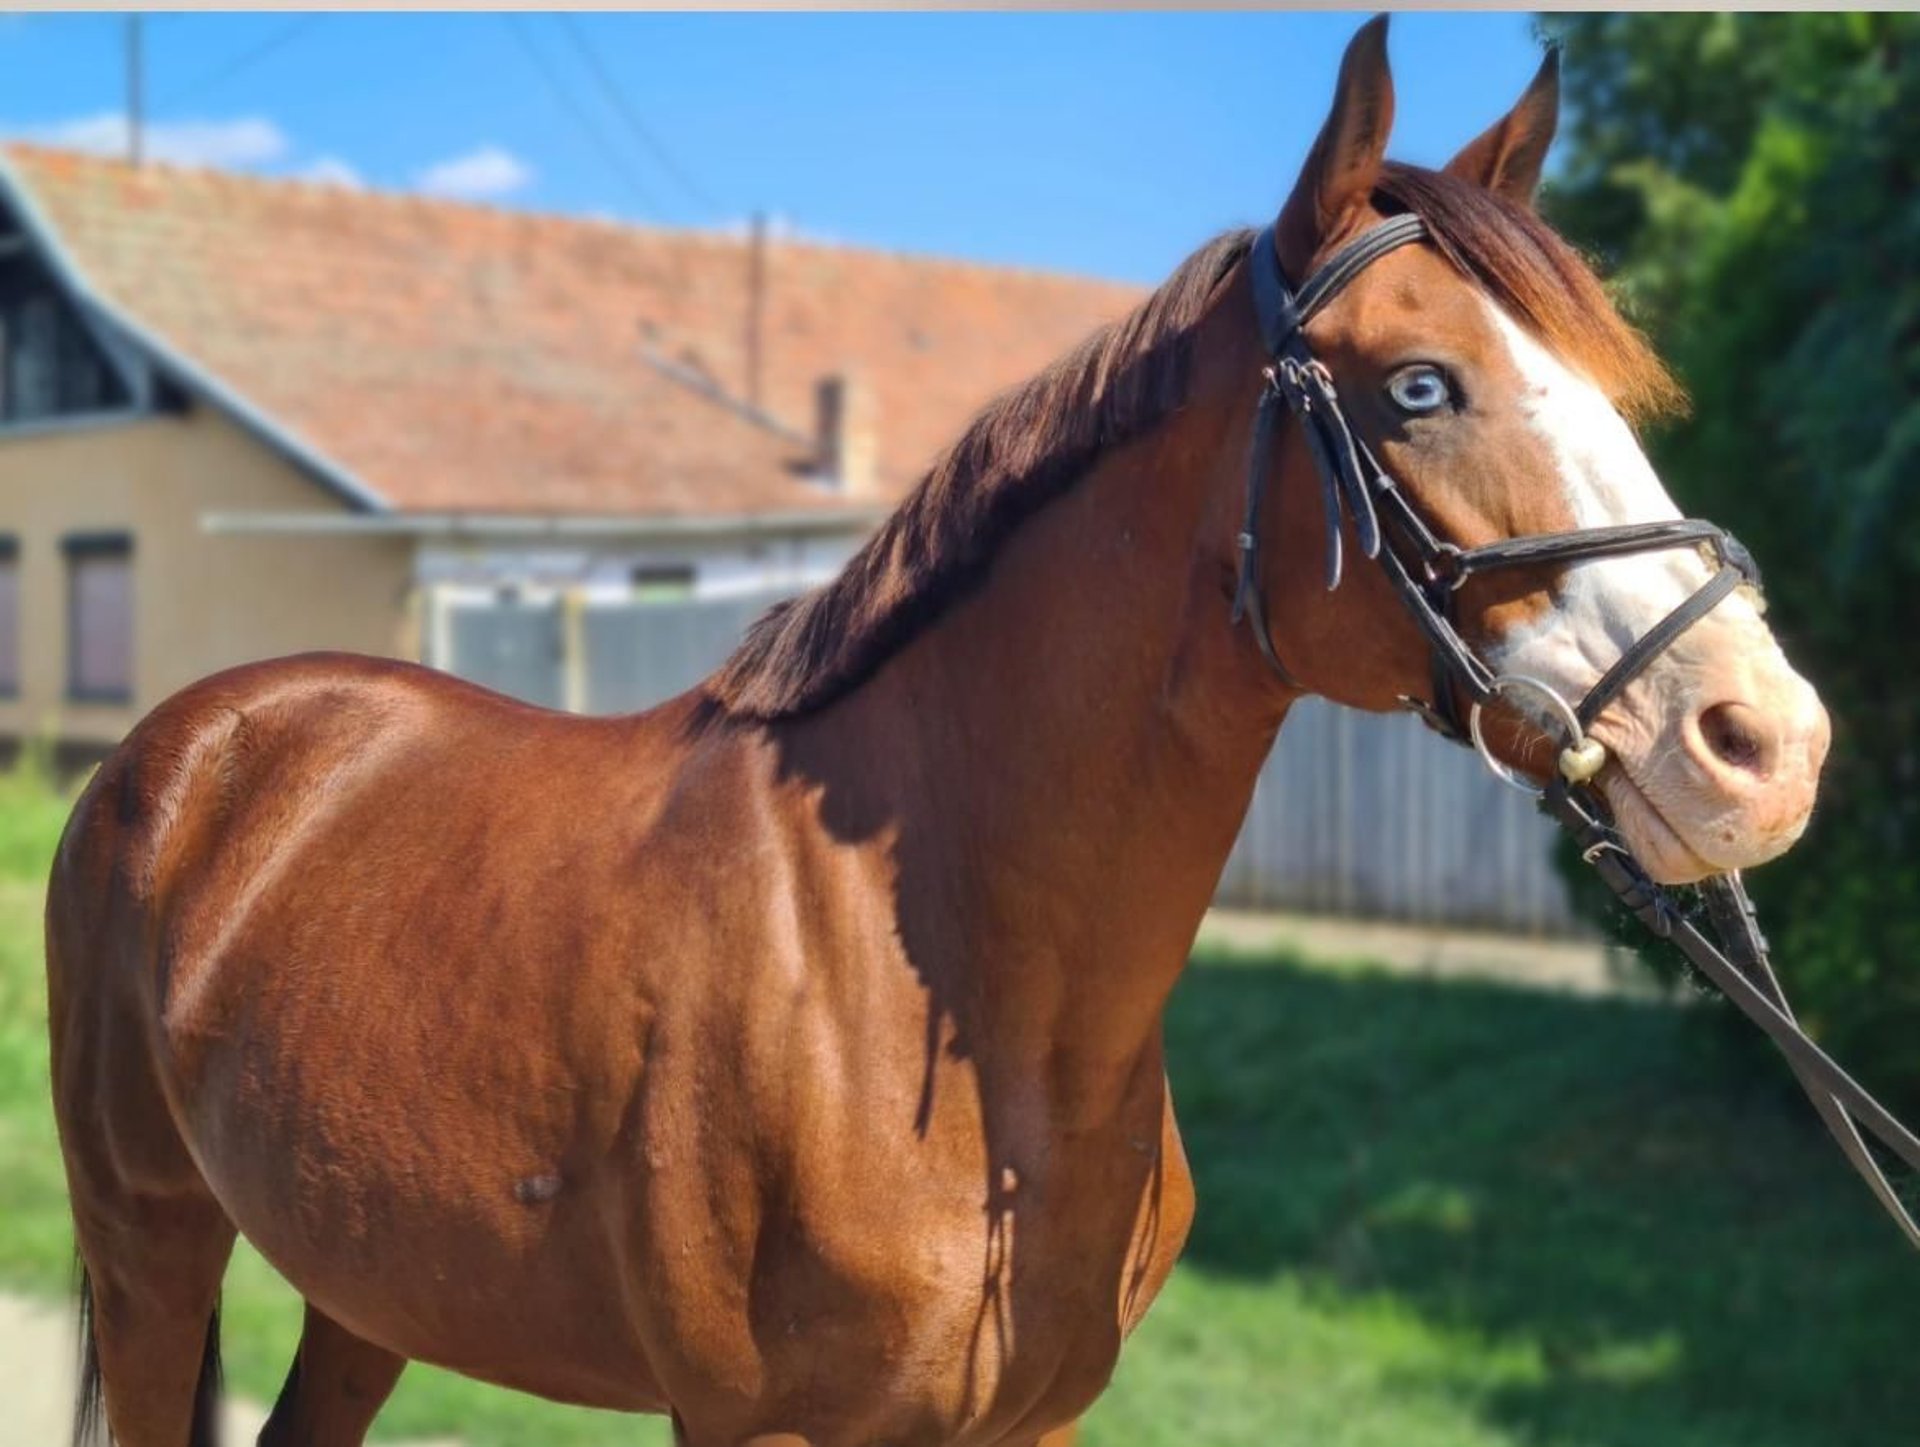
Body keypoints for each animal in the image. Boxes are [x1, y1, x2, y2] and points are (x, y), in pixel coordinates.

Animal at [45, 22, 1820, 1443]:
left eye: (1609, 383)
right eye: (1422, 387)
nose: (1764, 741)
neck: (944, 998)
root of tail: (193, 743)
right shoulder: (749, 1422)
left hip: (364, 1284)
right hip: (150, 1248)